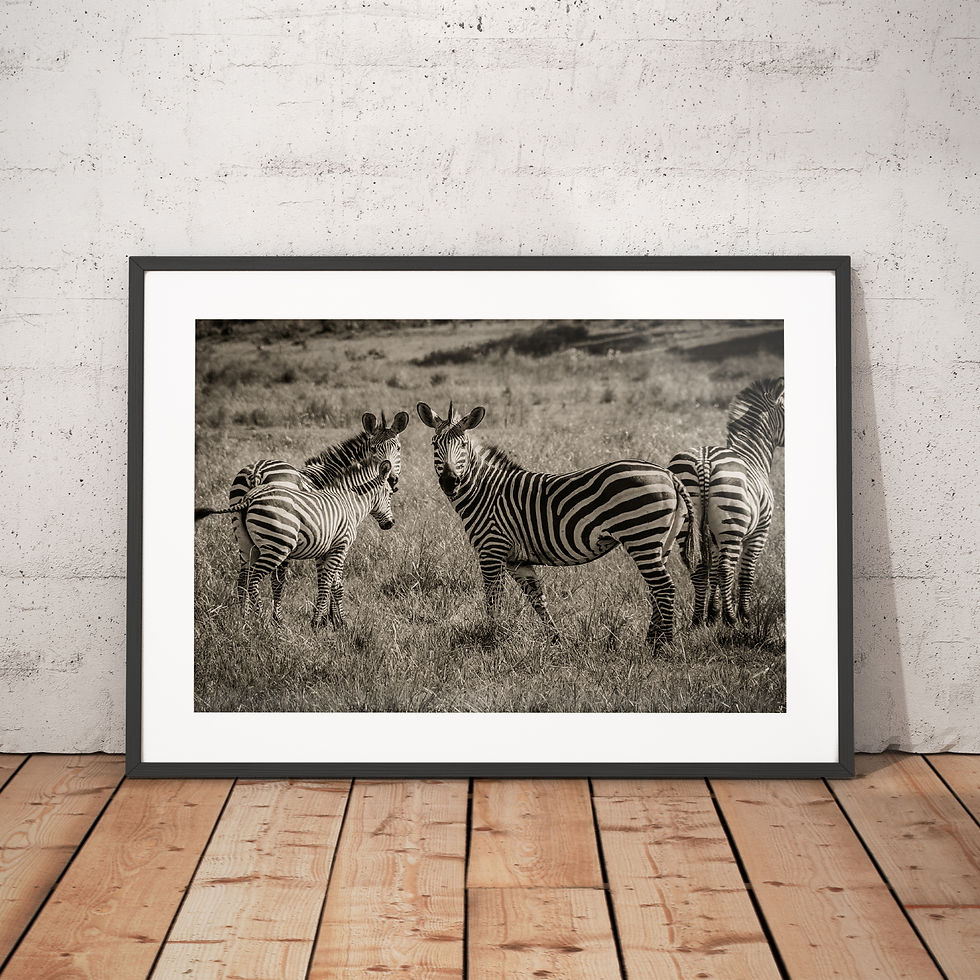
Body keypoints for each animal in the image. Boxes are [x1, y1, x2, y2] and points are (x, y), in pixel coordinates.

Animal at [195, 460, 395, 631]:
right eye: (389, 494)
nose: (391, 523)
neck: (350, 504)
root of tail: (251, 495)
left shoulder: (325, 550)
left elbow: (330, 582)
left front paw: (334, 621)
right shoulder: (340, 546)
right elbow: (331, 582)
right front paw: (322, 622)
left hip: (245, 544)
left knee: (243, 579)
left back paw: (244, 620)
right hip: (277, 546)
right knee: (255, 580)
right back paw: (262, 621)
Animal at [417, 401, 701, 646]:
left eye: (463, 445)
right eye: (434, 444)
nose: (450, 481)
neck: (485, 492)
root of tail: (668, 474)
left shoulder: (491, 550)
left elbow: (493, 599)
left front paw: (492, 635)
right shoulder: (517, 560)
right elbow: (538, 599)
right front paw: (555, 639)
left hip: (641, 536)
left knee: (664, 588)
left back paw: (663, 645)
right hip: (660, 542)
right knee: (656, 590)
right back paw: (651, 640)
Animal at [668, 377, 785, 627]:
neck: (753, 456)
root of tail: (704, 460)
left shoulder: (712, 535)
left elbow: (712, 574)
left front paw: (712, 614)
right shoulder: (760, 531)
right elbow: (746, 573)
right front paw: (743, 615)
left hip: (687, 523)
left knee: (700, 570)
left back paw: (697, 620)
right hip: (731, 522)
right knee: (725, 569)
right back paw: (731, 619)